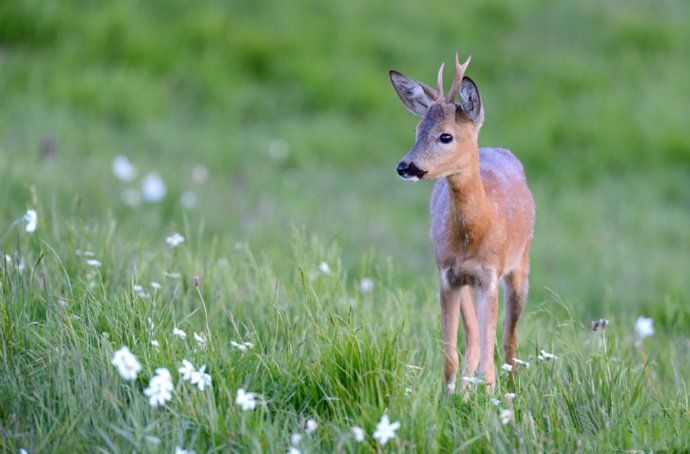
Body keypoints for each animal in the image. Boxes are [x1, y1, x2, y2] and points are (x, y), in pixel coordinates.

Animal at [390, 54, 536, 394]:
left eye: (446, 135)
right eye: (418, 129)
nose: (404, 166)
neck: (474, 232)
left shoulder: (490, 275)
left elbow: (491, 357)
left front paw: (494, 399)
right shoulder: (447, 275)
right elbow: (451, 355)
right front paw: (450, 397)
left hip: (520, 264)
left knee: (509, 341)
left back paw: (510, 389)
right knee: (473, 341)